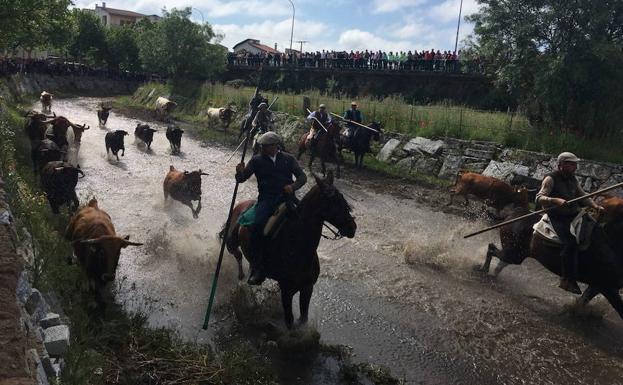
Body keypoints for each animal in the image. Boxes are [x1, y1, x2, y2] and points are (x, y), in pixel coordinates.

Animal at [222, 172, 356, 328]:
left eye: (342, 198)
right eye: (332, 201)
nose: (352, 227)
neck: (297, 247)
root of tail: (241, 205)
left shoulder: (307, 288)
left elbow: (303, 318)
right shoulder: (286, 291)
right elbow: (290, 322)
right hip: (231, 242)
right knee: (237, 255)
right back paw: (242, 276)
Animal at [482, 208, 623, 320]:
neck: (610, 247)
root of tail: (512, 215)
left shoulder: (598, 286)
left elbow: (585, 298)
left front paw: (573, 310)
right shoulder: (606, 287)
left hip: (516, 254)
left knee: (499, 259)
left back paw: (492, 272)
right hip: (513, 253)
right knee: (491, 248)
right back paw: (484, 269)